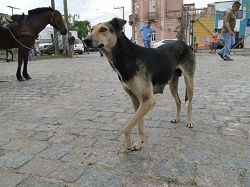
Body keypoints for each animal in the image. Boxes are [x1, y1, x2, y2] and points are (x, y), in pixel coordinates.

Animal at [85, 17, 196, 151]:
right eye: (91, 29)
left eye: (103, 29)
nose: (85, 40)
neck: (125, 56)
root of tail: (184, 43)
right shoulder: (136, 99)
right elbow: (139, 124)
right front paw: (139, 143)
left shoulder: (148, 100)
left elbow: (127, 127)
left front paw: (128, 145)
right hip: (172, 84)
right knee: (178, 102)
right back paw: (177, 118)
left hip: (189, 82)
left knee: (189, 104)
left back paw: (189, 121)